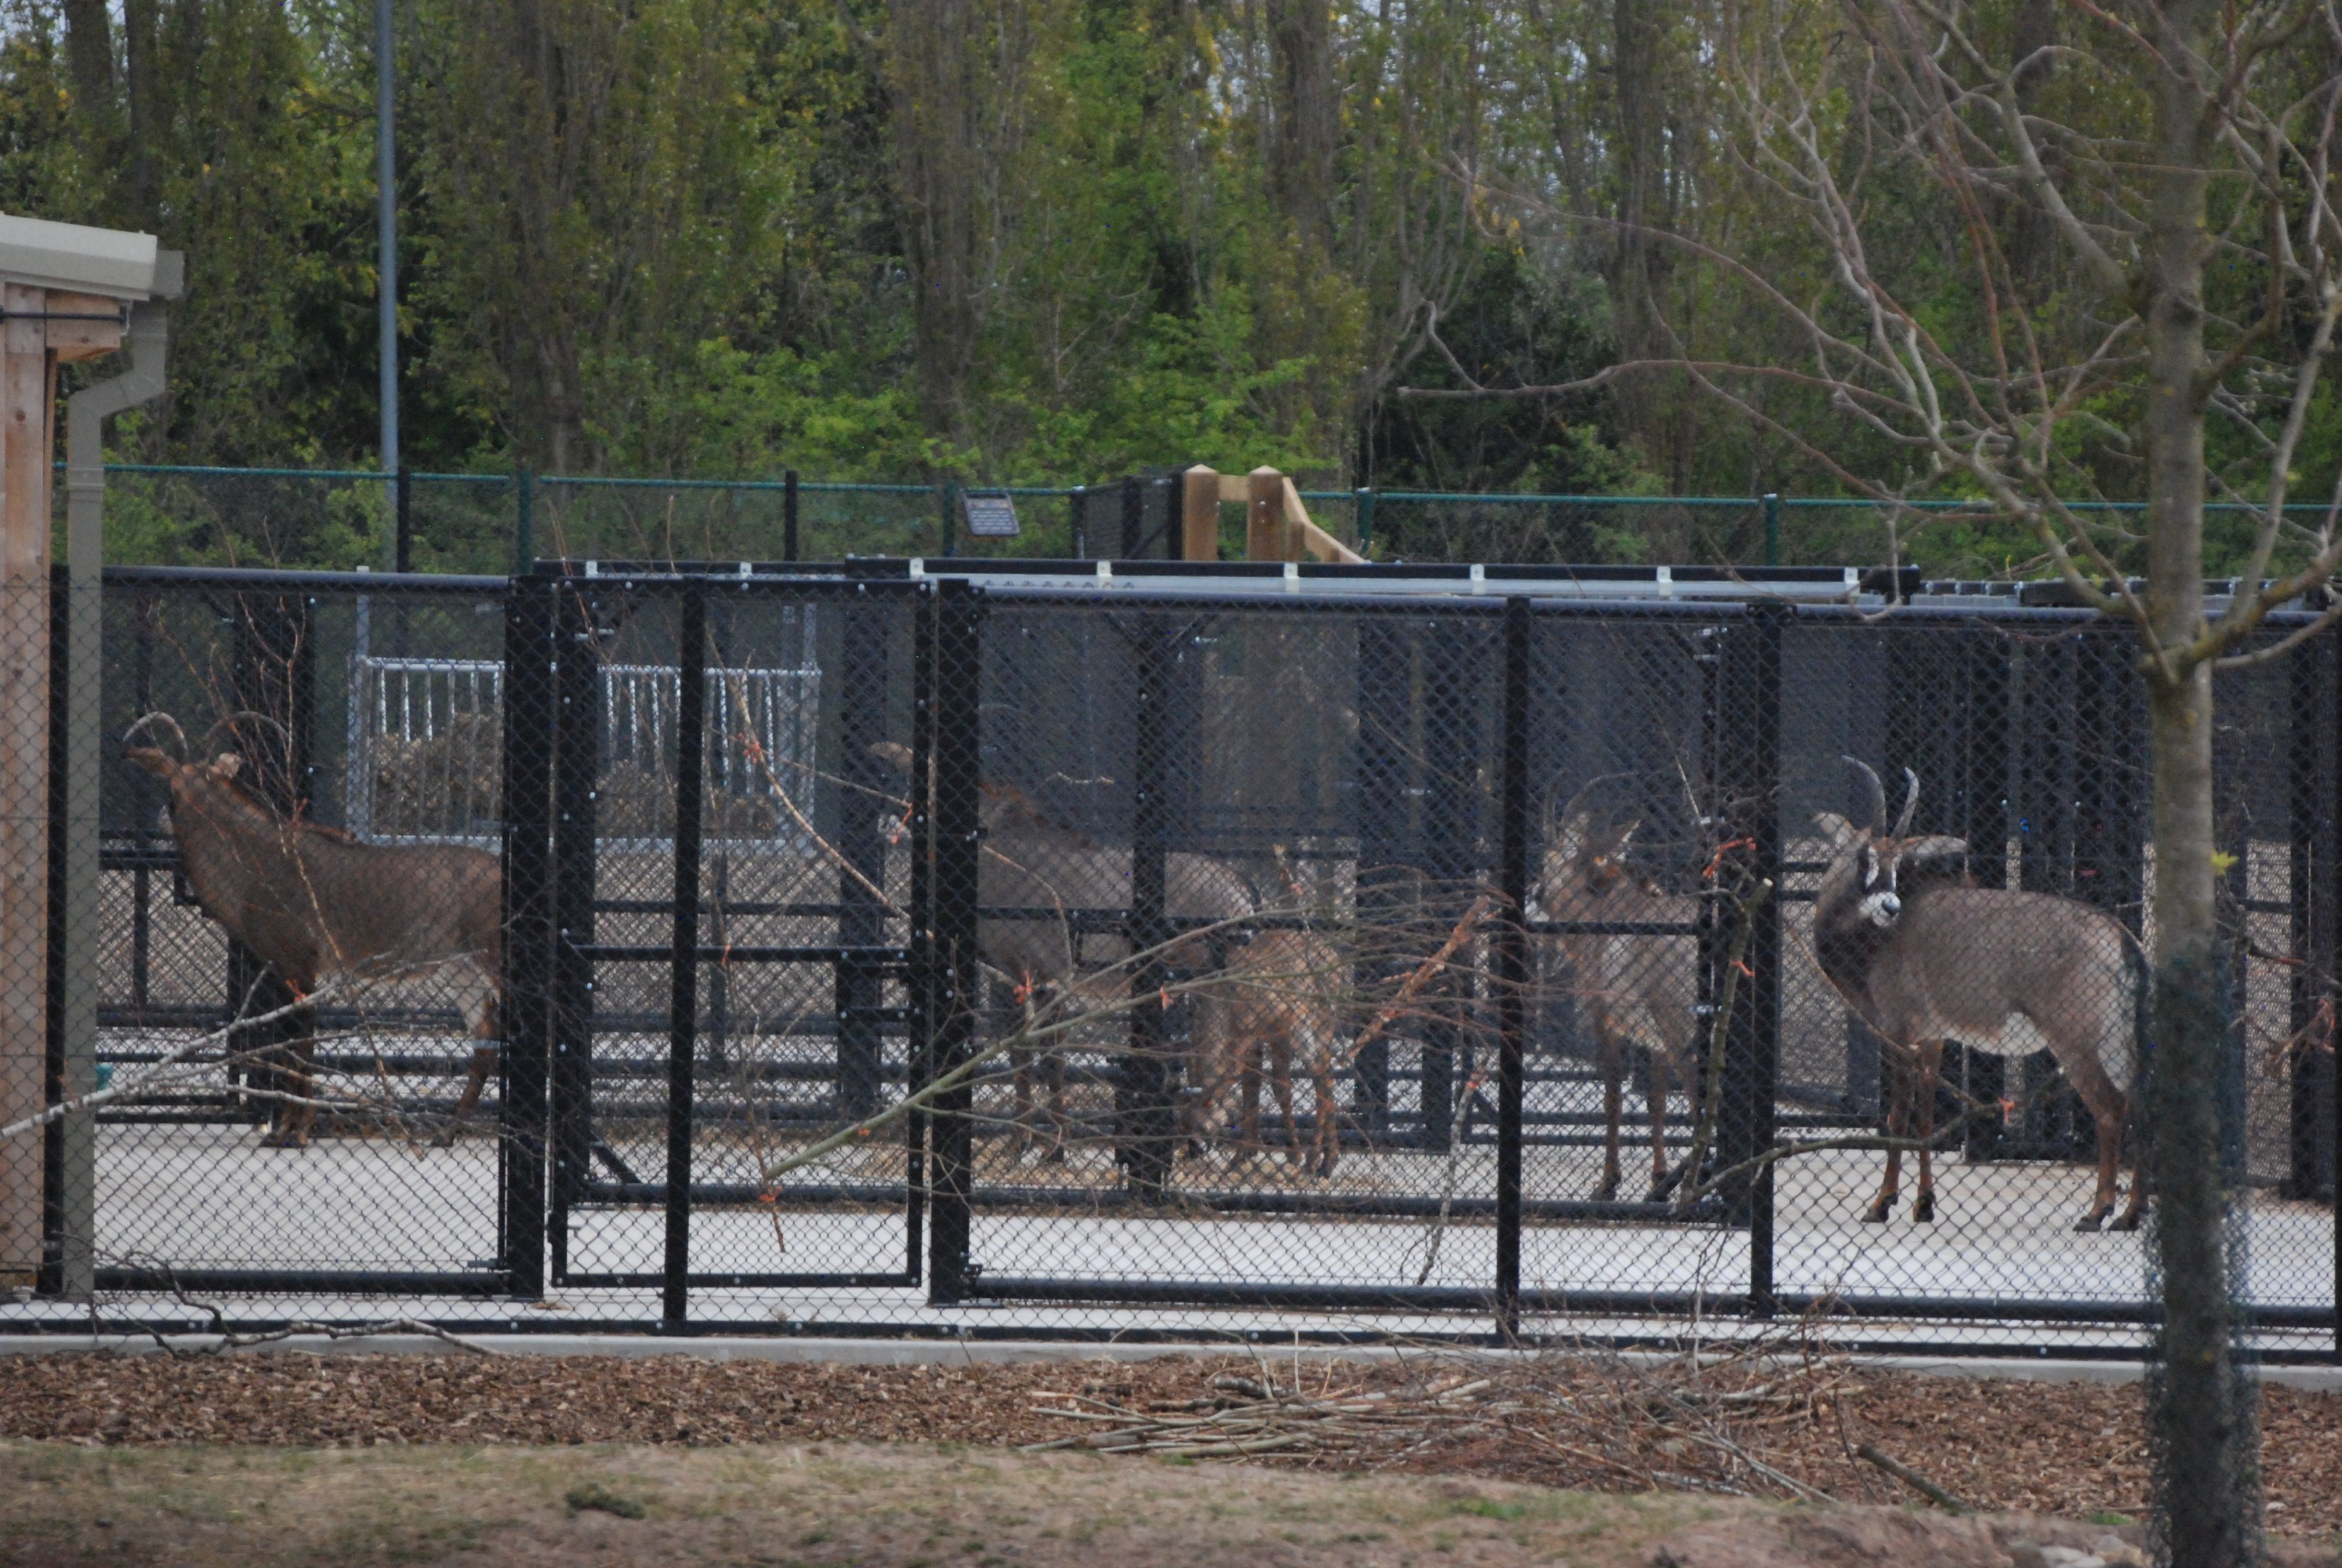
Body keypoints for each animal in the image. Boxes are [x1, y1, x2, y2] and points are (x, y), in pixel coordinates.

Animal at [124, 713, 503, 1148]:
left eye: (174, 789)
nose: (163, 816)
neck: (252, 862)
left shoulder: (301, 963)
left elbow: (301, 1043)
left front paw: (295, 1131)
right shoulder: (282, 968)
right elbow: (289, 1045)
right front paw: (284, 1128)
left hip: (494, 960)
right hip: (460, 971)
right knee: (485, 1043)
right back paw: (447, 1134)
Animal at [1537, 784, 1702, 1202]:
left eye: (1548, 861)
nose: (1537, 892)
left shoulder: (1605, 1021)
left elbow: (1612, 1096)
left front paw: (1607, 1184)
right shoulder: (1654, 1041)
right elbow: (1656, 1101)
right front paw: (1658, 1180)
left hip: (1681, 1028)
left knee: (1699, 1092)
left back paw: (1694, 1185)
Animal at [1814, 759, 2144, 1231]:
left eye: (1899, 862)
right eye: (1865, 857)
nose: (1890, 907)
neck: (1877, 939)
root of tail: (2119, 936)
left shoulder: (1897, 1032)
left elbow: (1898, 1115)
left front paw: (1882, 1203)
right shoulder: (1932, 1038)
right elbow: (1925, 1117)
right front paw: (1924, 1204)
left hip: (2075, 1042)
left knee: (2110, 1109)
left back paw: (2098, 1211)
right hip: (2116, 1040)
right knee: (2140, 1105)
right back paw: (2132, 1213)